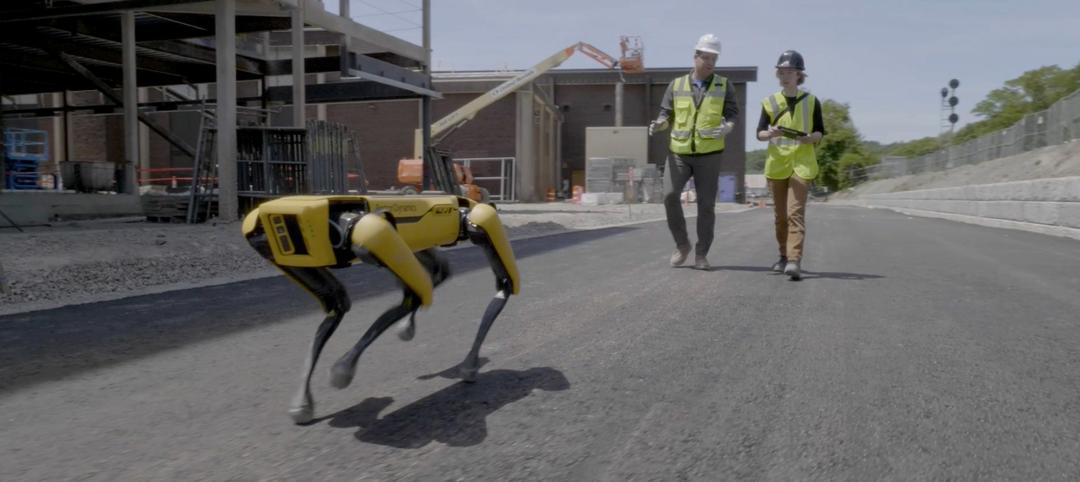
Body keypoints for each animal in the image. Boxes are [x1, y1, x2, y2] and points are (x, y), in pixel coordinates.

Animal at [243, 193, 520, 423]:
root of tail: (467, 201)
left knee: (498, 282)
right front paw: (305, 401)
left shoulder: (373, 234)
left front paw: (343, 368)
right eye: (270, 237)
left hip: (469, 224)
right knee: (435, 276)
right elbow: (339, 305)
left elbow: (416, 294)